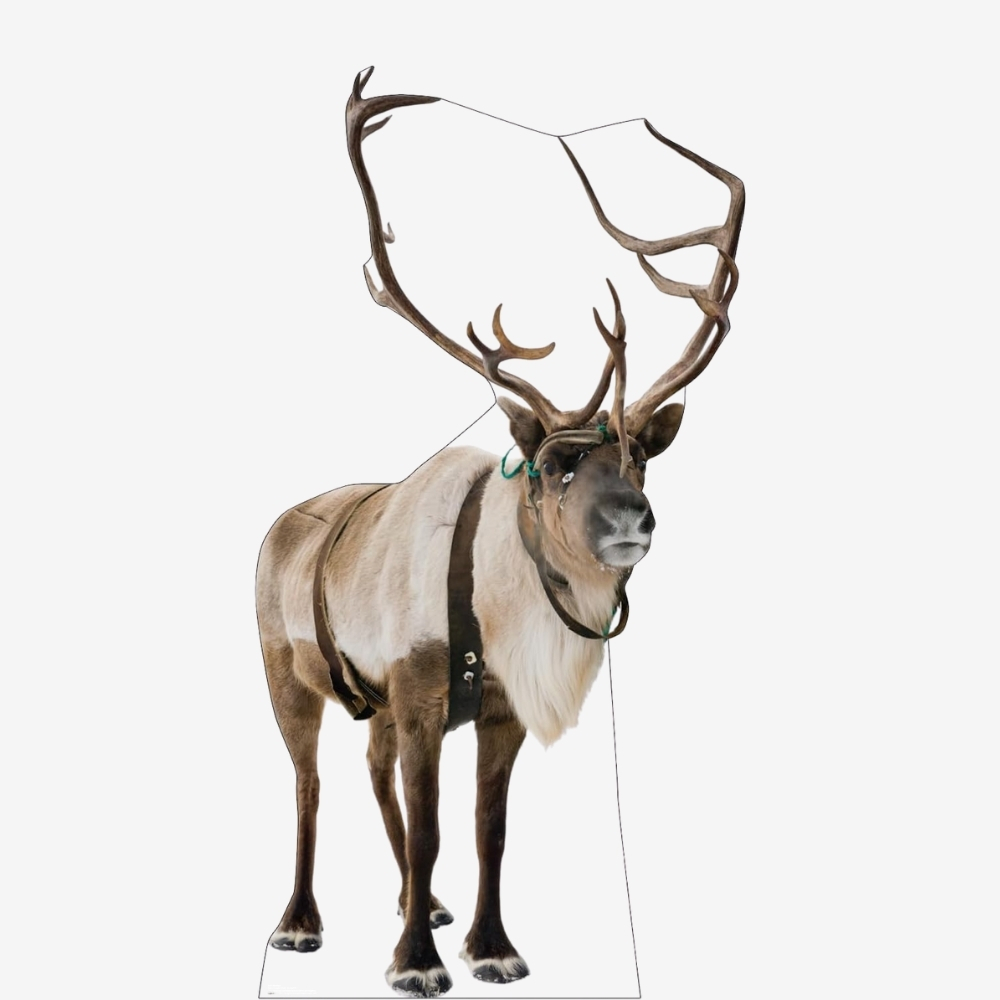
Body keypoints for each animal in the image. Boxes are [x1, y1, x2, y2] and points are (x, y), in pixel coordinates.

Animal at [258, 67, 744, 998]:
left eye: (640, 460)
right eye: (553, 466)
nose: (635, 520)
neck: (496, 594)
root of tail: (281, 522)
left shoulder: (498, 712)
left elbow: (489, 831)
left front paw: (488, 947)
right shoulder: (418, 697)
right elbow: (433, 825)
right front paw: (415, 963)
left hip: (372, 702)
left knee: (371, 775)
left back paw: (424, 904)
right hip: (286, 676)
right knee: (307, 784)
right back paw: (301, 924)